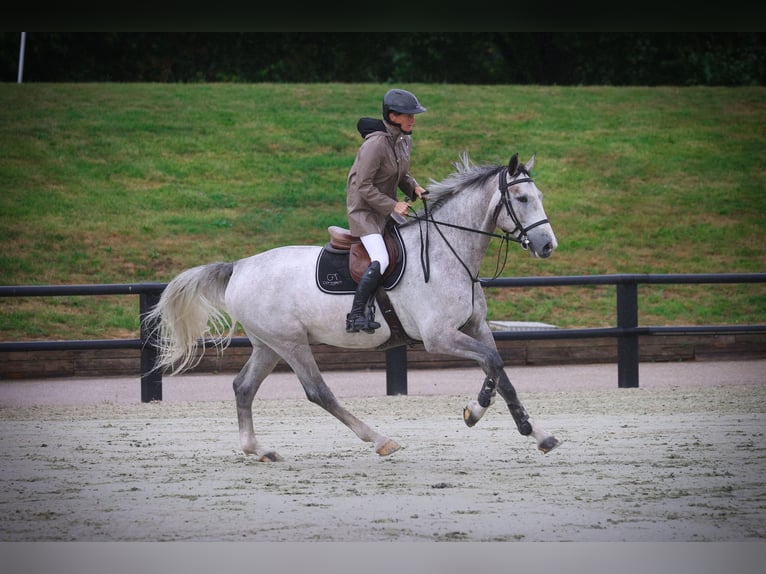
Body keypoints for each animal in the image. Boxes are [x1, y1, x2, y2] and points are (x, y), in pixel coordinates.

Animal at [145, 153, 562, 461]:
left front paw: (536, 433)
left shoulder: (476, 326)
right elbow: (492, 363)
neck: (450, 251)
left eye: (539, 197)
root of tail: (240, 266)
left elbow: (501, 371)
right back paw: (379, 439)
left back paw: (258, 449)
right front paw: (476, 411)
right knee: (318, 392)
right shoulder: (439, 337)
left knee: (243, 387)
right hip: (291, 343)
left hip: (269, 345)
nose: (547, 246)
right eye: (522, 199)